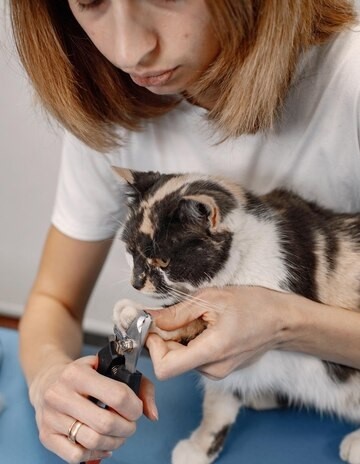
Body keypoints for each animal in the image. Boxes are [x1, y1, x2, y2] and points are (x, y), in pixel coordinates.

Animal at [111, 167, 360, 464]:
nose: (136, 283)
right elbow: (219, 400)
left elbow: (188, 320)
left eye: (163, 261)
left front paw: (134, 312)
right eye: (131, 251)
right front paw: (201, 448)